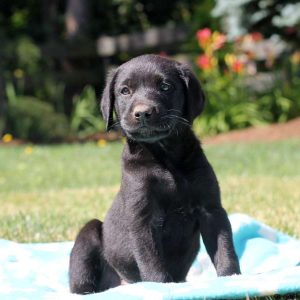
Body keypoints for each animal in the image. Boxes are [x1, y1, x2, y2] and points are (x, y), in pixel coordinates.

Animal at [69, 54, 240, 292]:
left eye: (165, 86)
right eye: (125, 91)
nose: (142, 112)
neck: (164, 157)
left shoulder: (211, 209)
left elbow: (224, 248)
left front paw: (231, 279)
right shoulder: (142, 219)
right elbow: (152, 261)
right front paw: (162, 287)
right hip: (90, 234)